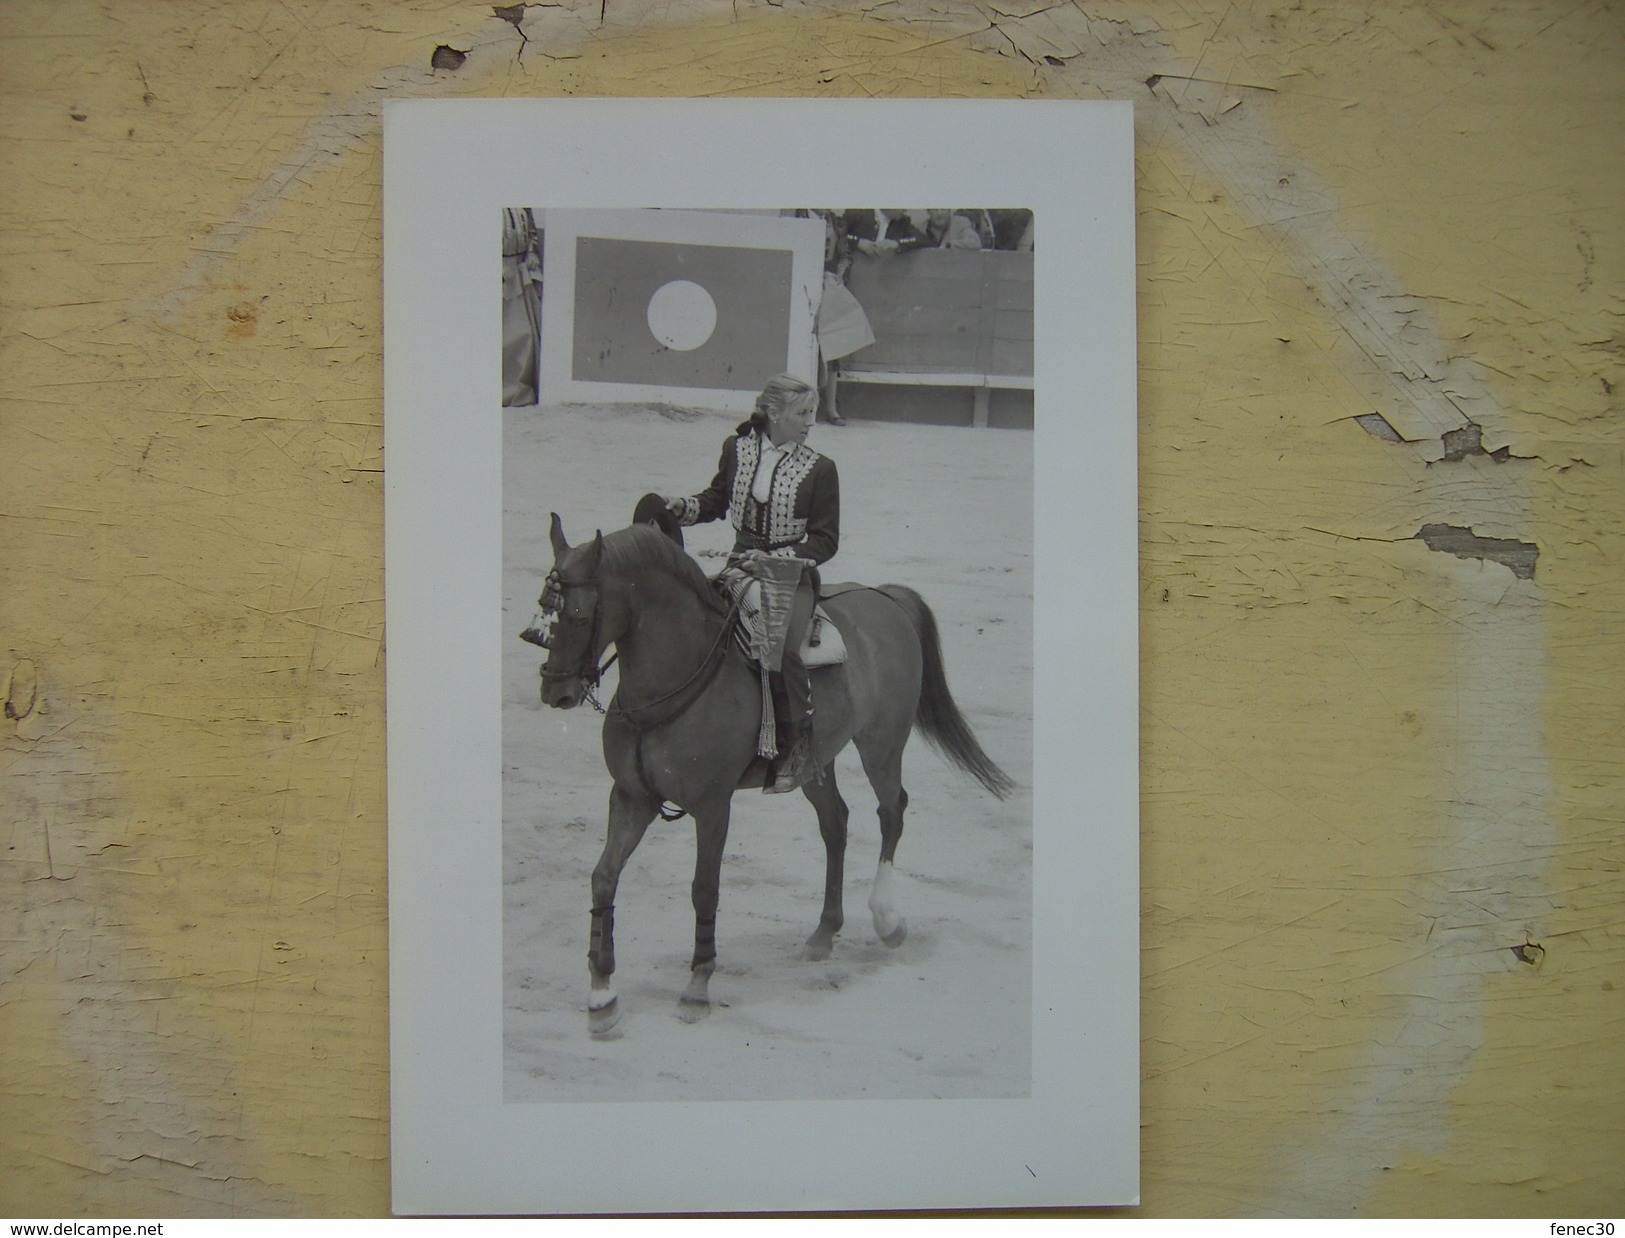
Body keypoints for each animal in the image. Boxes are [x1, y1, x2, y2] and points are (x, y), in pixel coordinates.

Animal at [533, 510, 1014, 1033]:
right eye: (544, 608)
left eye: (580, 614)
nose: (555, 691)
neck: (669, 680)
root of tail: (885, 596)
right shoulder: (630, 796)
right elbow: (604, 875)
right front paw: (602, 994)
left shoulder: (712, 805)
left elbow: (704, 889)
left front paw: (697, 986)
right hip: (815, 761)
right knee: (836, 822)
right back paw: (824, 931)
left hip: (881, 743)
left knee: (891, 811)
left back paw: (887, 920)